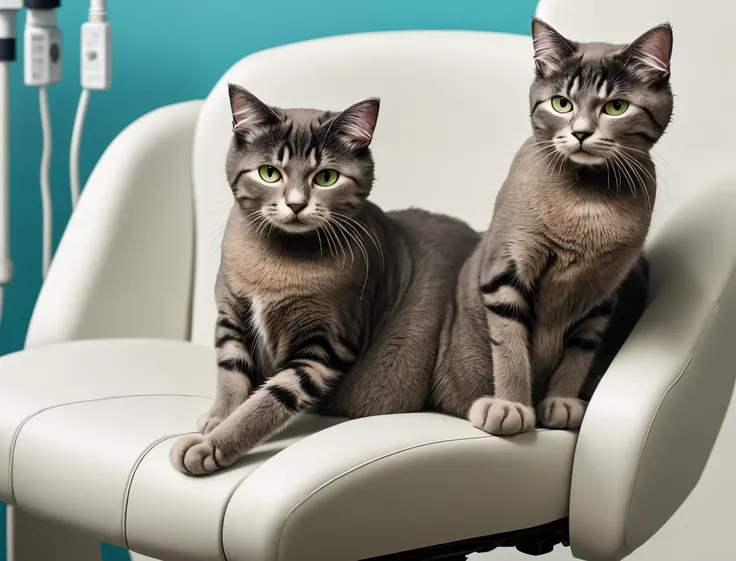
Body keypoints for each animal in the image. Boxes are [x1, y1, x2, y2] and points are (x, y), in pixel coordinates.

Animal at [172, 85, 484, 474]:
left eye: (326, 178)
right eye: (269, 173)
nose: (295, 204)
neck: (278, 259)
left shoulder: (327, 345)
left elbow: (270, 401)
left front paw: (214, 445)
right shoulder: (231, 317)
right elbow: (231, 375)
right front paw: (219, 417)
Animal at [434, 16, 676, 428]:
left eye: (616, 107)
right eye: (562, 103)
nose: (580, 133)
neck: (589, 197)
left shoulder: (601, 295)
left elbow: (580, 352)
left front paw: (561, 399)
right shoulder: (506, 272)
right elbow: (511, 346)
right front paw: (511, 404)